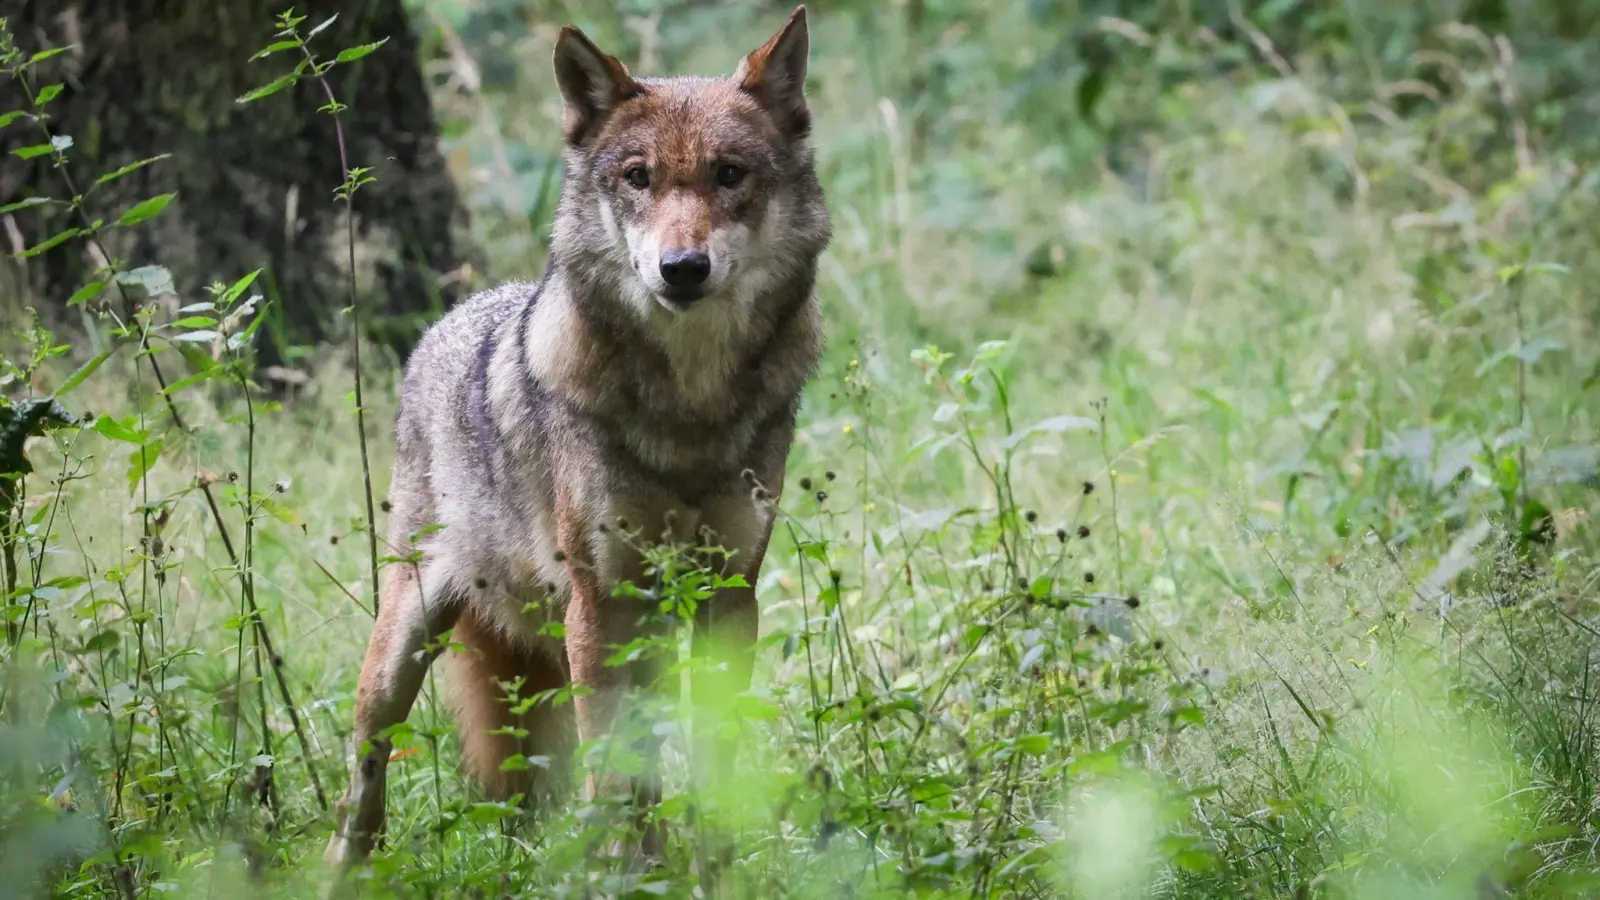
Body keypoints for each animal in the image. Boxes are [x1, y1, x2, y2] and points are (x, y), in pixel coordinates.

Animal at [320, 3, 832, 864]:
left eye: (730, 174)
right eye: (637, 178)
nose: (682, 268)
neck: (689, 408)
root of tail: (448, 322)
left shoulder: (729, 593)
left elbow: (714, 753)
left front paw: (717, 860)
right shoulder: (600, 603)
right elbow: (610, 766)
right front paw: (620, 869)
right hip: (405, 646)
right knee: (364, 770)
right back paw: (345, 867)